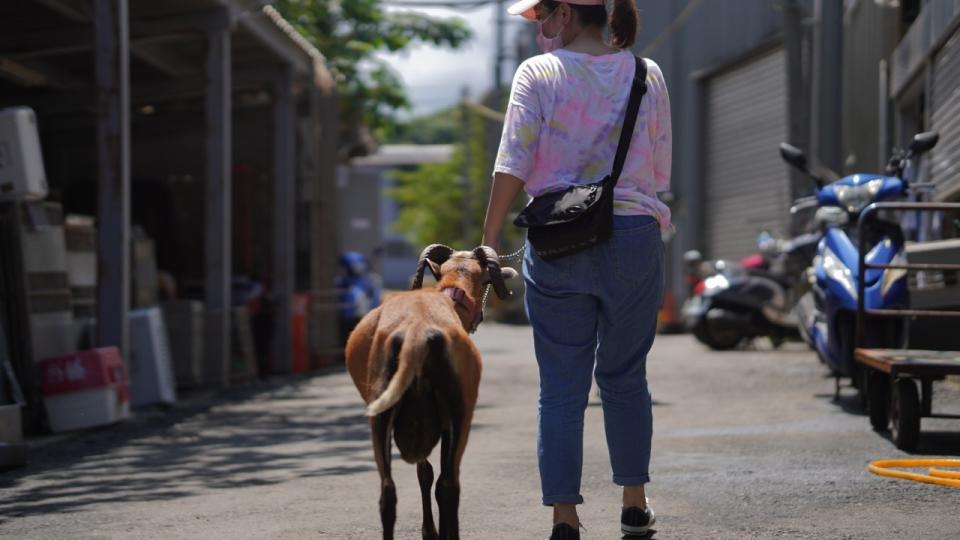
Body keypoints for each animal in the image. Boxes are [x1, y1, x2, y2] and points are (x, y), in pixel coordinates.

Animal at [344, 246, 516, 540]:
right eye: (485, 281)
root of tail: (416, 332)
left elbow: (424, 473)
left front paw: (429, 531)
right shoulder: (448, 420)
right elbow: (437, 480)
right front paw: (435, 532)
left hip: (380, 409)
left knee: (388, 494)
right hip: (461, 410)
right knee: (449, 485)